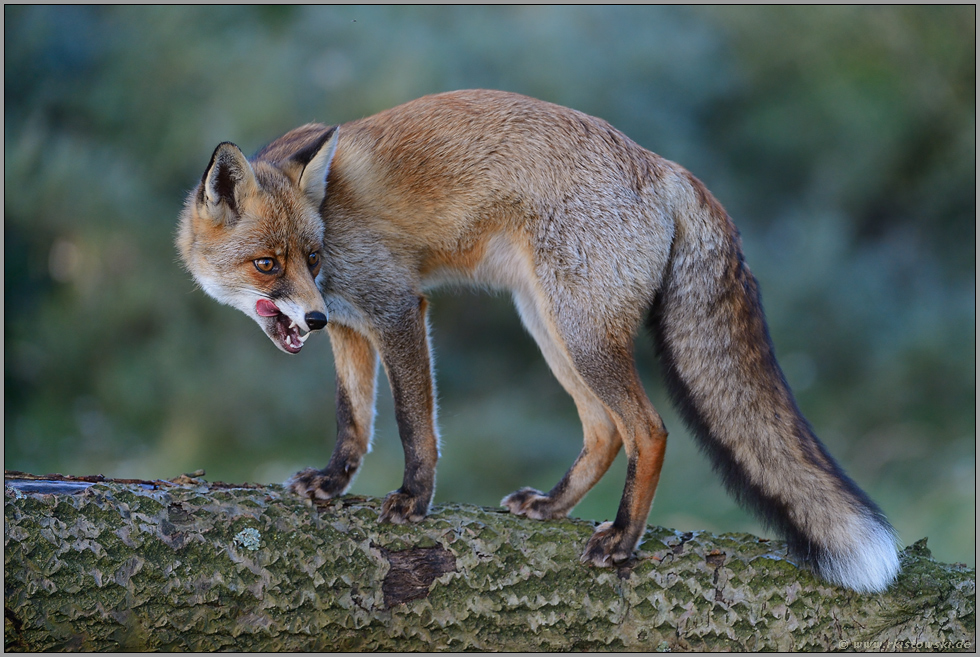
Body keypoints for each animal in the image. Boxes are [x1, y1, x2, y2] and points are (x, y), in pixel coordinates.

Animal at [178, 84, 904, 592]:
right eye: (269, 263)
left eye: (311, 255)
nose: (313, 318)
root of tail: (665, 165)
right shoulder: (353, 328)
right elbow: (353, 419)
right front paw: (331, 483)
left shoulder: (397, 308)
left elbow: (415, 423)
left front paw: (415, 499)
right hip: (548, 324)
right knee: (603, 430)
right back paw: (556, 505)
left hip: (579, 332)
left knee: (647, 430)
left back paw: (622, 539)